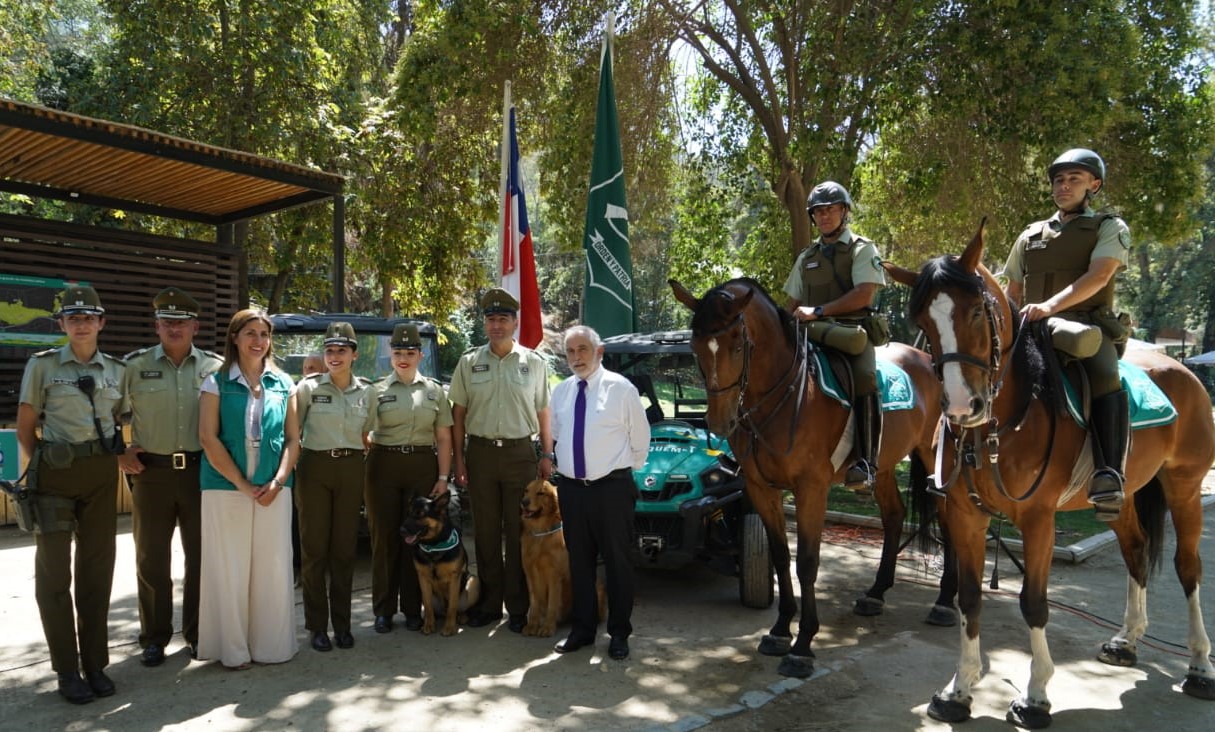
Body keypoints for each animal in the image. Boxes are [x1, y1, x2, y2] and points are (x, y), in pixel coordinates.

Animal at [398, 491, 473, 632]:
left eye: (420, 514)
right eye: (408, 513)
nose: (401, 531)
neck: (433, 546)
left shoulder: (455, 578)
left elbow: (452, 606)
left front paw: (449, 627)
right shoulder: (423, 579)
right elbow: (428, 607)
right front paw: (429, 625)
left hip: (472, 580)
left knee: (460, 609)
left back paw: (463, 617)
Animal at [670, 276, 952, 676]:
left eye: (737, 345)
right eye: (695, 346)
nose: (720, 422)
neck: (784, 396)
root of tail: (926, 359)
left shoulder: (811, 489)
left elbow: (806, 562)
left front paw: (803, 644)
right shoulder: (762, 489)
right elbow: (779, 556)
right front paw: (779, 629)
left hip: (934, 457)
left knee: (949, 521)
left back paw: (945, 602)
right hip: (882, 467)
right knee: (895, 516)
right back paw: (876, 594)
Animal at [884, 223, 1215, 724]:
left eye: (977, 311)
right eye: (922, 322)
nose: (962, 408)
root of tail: (1182, 368)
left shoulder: (1038, 520)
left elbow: (1034, 603)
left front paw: (1035, 695)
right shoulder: (965, 516)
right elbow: (969, 597)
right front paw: (959, 689)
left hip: (1185, 486)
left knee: (1188, 567)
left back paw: (1198, 664)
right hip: (1122, 498)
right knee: (1136, 552)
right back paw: (1127, 639)